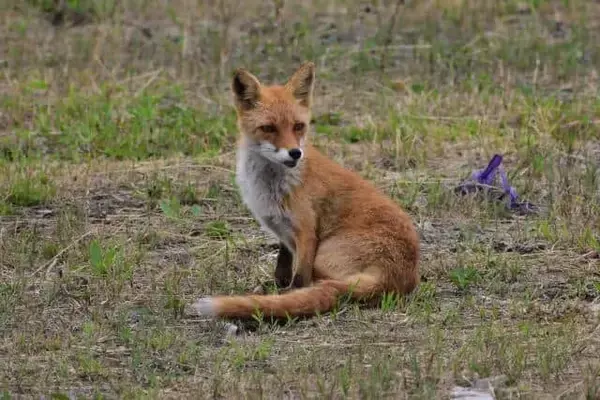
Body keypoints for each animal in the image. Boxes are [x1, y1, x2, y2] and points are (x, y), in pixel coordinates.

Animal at [192, 62, 420, 319]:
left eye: (298, 126)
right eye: (268, 128)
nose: (295, 153)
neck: (269, 186)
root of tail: (393, 278)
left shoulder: (306, 232)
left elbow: (300, 279)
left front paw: (286, 297)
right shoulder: (283, 231)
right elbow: (282, 265)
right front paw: (277, 286)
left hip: (323, 256)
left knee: (323, 284)